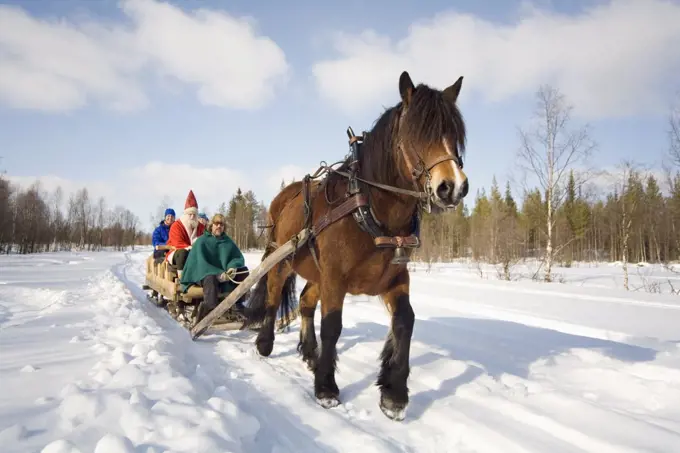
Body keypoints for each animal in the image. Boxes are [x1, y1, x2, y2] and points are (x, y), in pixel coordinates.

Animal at [242, 70, 470, 420]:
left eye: (454, 134)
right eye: (415, 132)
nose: (454, 187)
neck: (368, 208)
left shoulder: (394, 277)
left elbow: (405, 321)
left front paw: (394, 393)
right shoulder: (335, 277)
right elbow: (332, 326)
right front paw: (326, 388)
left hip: (316, 272)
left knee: (305, 303)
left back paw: (311, 354)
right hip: (282, 260)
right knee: (272, 296)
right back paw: (265, 343)